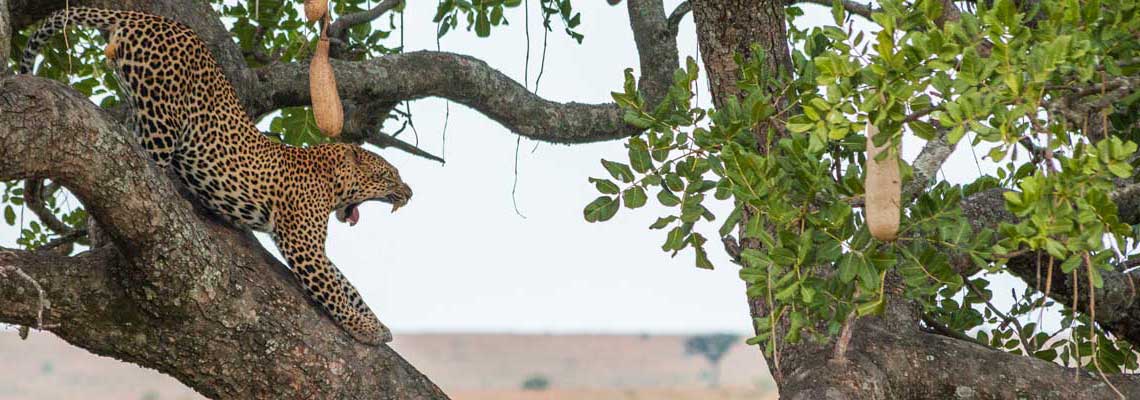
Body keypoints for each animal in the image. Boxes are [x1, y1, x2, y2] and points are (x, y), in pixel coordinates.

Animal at [20, 6, 412, 346]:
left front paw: (376, 322)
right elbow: (334, 290)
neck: (330, 181)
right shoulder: (302, 245)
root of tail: (144, 16)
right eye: (390, 175)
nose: (409, 193)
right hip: (162, 118)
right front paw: (363, 329)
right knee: (135, 173)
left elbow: (349, 287)